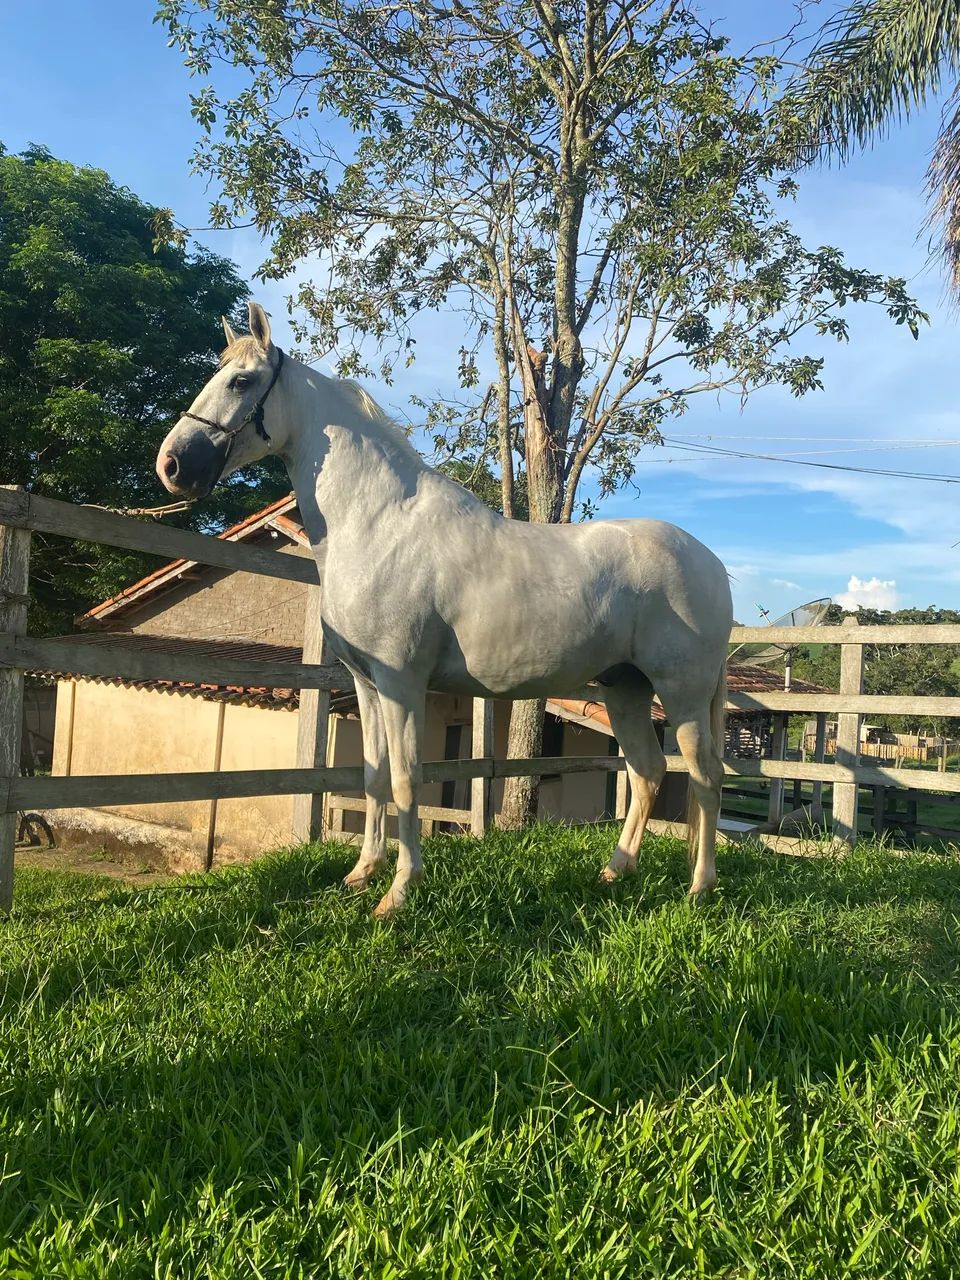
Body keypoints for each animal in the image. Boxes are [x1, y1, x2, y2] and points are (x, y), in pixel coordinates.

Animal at [157, 302, 733, 918]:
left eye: (241, 381)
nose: (171, 465)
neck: (378, 522)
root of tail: (712, 563)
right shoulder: (367, 684)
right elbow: (373, 777)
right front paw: (362, 873)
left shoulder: (403, 682)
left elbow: (408, 780)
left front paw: (399, 892)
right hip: (625, 688)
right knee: (648, 773)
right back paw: (615, 870)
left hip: (682, 692)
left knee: (704, 777)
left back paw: (700, 887)